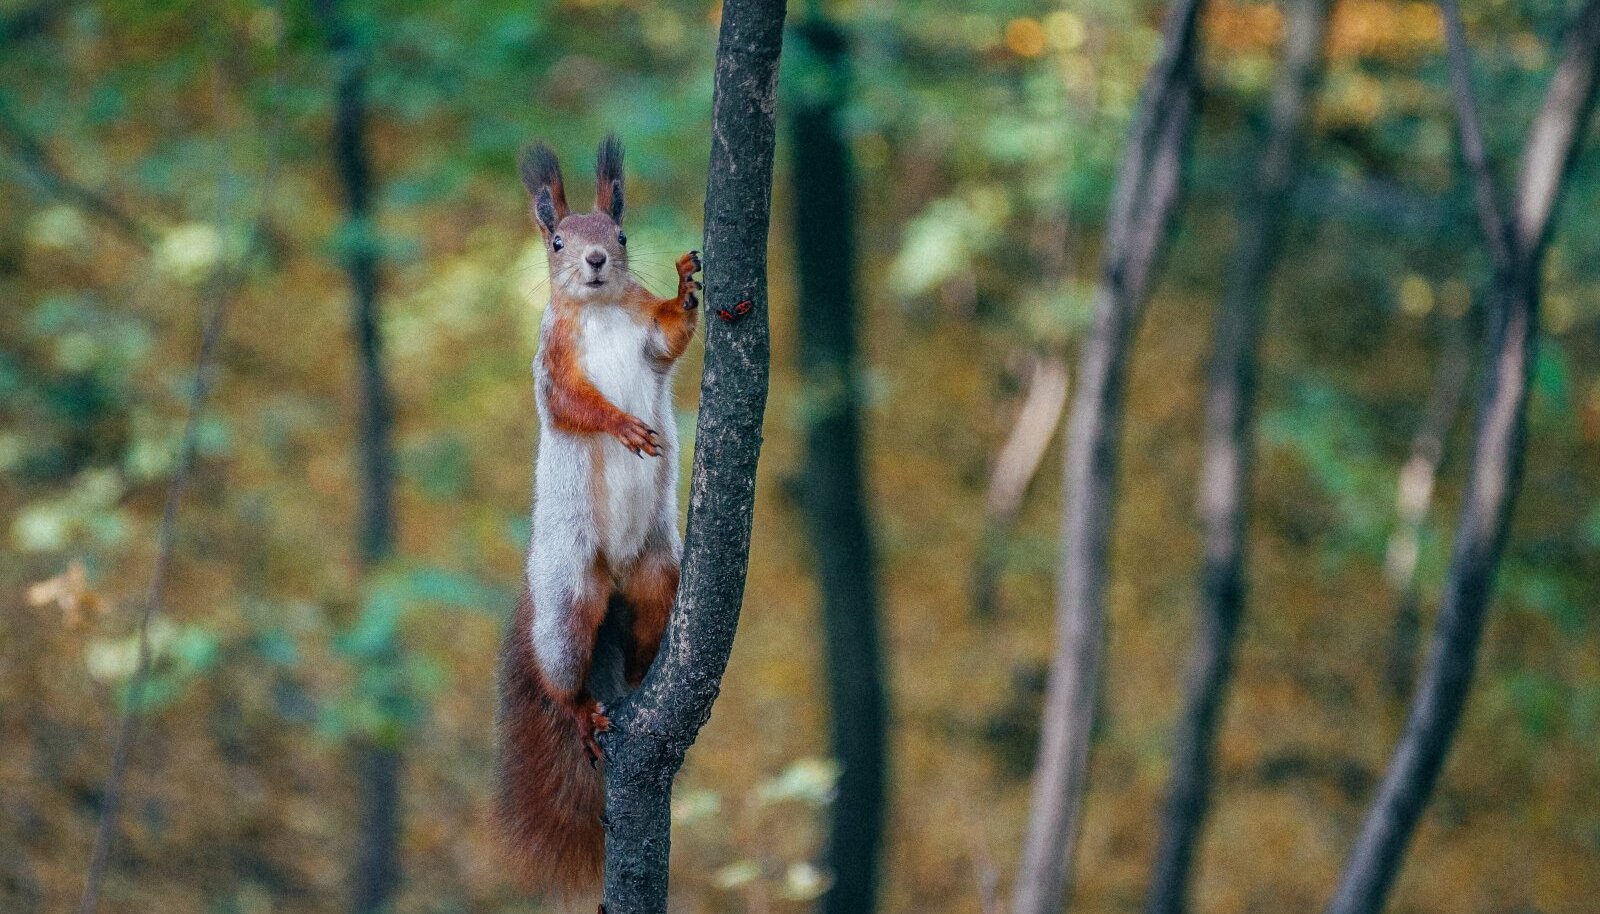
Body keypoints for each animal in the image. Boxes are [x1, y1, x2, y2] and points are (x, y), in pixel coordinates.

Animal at [492, 137, 700, 902]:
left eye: (621, 234)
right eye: (556, 241)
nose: (595, 261)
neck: (604, 311)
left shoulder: (648, 337)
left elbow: (671, 339)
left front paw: (687, 283)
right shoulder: (552, 366)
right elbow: (576, 406)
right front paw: (624, 427)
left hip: (656, 575)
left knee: (643, 631)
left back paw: (640, 681)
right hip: (570, 599)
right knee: (564, 678)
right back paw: (582, 708)